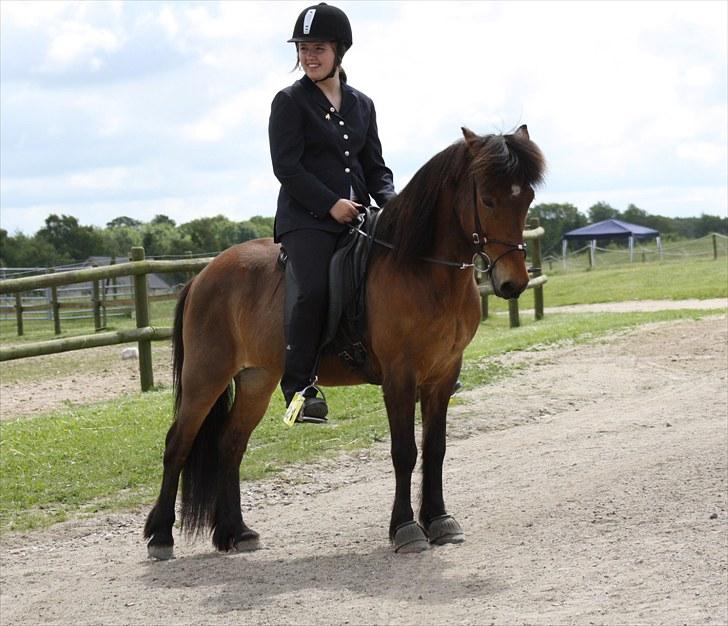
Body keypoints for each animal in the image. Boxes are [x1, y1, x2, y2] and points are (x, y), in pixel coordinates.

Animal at [142, 123, 544, 556]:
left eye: (527, 197)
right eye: (487, 199)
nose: (513, 282)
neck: (421, 268)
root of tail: (202, 275)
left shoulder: (443, 374)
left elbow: (435, 449)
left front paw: (439, 520)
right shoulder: (399, 377)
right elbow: (405, 451)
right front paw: (406, 529)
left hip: (256, 379)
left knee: (229, 446)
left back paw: (236, 532)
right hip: (206, 377)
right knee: (177, 444)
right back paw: (161, 536)